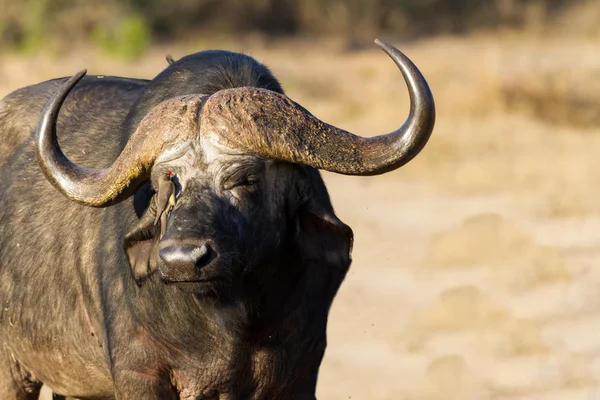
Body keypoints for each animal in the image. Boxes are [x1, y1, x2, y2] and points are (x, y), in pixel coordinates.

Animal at [0, 38, 434, 400]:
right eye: (161, 184)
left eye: (245, 179)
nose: (182, 260)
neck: (229, 317)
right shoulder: (139, 373)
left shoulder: (300, 370)